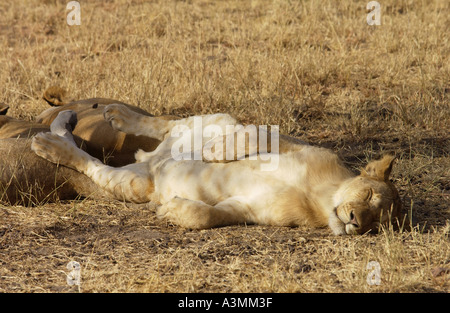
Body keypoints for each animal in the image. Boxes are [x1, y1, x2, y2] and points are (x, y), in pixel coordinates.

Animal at [33, 103, 402, 234]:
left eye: (377, 223)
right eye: (367, 195)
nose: (355, 222)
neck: (320, 198)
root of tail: (151, 158)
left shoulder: (250, 210)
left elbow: (210, 216)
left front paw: (174, 211)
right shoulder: (301, 145)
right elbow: (258, 134)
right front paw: (216, 152)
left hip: (135, 184)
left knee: (91, 163)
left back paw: (57, 135)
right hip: (219, 120)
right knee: (166, 124)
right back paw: (112, 116)